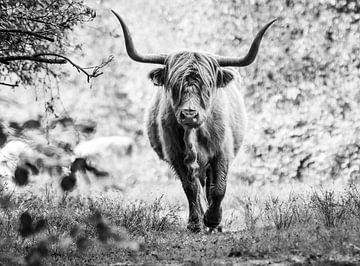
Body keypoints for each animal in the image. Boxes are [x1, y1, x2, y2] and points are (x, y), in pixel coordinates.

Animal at [112, 9, 276, 231]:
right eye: (174, 84)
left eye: (207, 85)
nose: (189, 114)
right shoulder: (175, 154)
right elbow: (190, 188)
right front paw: (195, 223)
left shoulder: (222, 152)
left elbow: (219, 188)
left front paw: (213, 220)